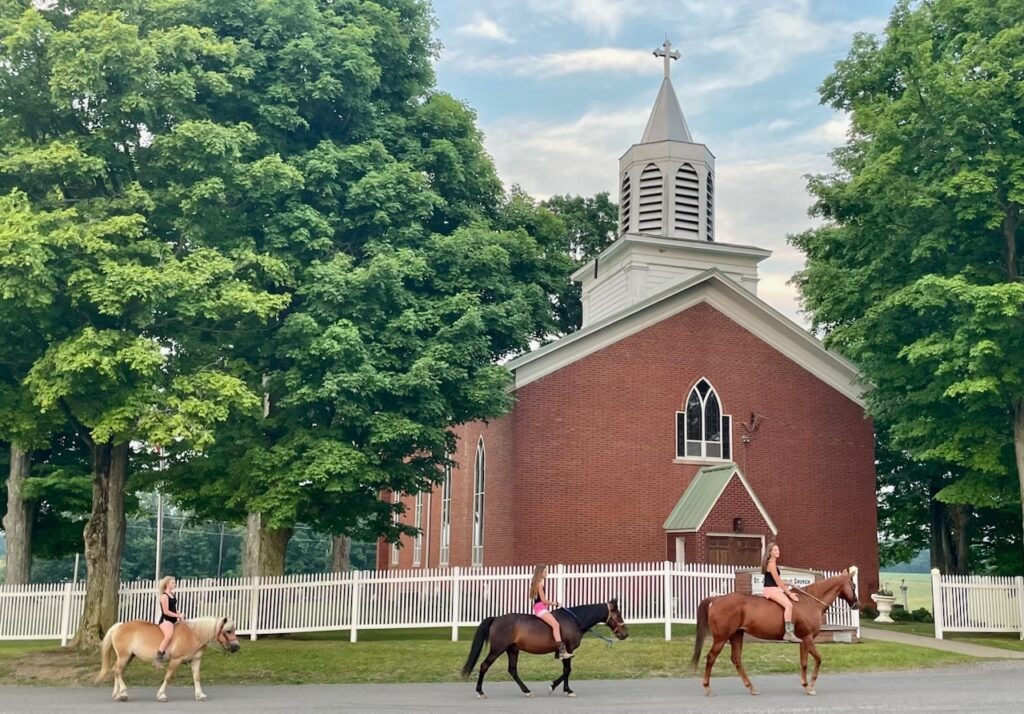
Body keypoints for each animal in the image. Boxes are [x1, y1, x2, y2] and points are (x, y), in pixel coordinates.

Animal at [95, 614, 240, 700]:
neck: (193, 634)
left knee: (117, 671)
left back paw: (118, 694)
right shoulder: (176, 660)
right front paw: (161, 694)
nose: (236, 647)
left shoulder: (195, 661)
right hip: (124, 656)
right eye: (228, 631)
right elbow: (168, 677)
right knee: (117, 670)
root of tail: (119, 626)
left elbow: (197, 678)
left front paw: (200, 694)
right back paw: (123, 692)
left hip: (128, 657)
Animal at [462, 594, 622, 696]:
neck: (575, 621)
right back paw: (480, 691)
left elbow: (566, 670)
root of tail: (496, 619)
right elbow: (567, 670)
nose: (624, 634)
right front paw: (560, 688)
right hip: (497, 649)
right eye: (617, 614)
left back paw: (527, 691)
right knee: (484, 666)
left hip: (512, 650)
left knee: (512, 670)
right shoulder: (568, 649)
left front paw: (562, 688)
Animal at [692, 565, 860, 692]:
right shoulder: (808, 638)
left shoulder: (803, 640)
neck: (809, 601)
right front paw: (811, 685)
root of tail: (716, 599)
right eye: (853, 586)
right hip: (721, 638)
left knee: (736, 659)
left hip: (736, 635)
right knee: (711, 657)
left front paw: (805, 684)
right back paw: (707, 687)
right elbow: (818, 659)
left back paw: (751, 687)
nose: (856, 604)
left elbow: (804, 662)